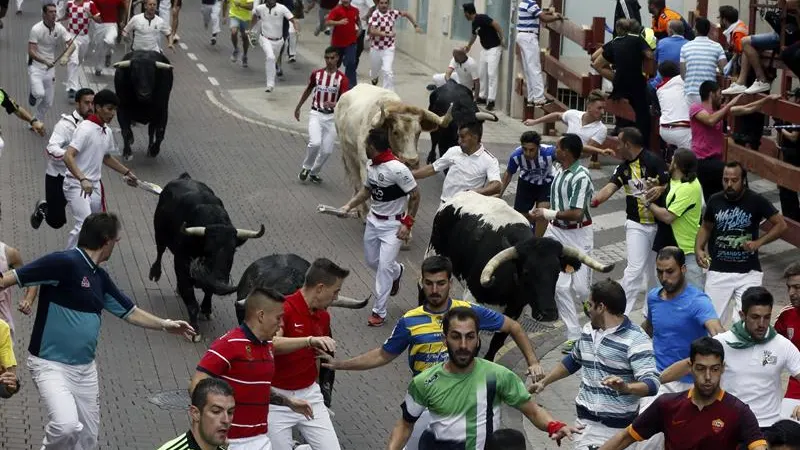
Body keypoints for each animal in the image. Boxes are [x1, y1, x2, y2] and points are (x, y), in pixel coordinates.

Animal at [148, 172, 264, 342]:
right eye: (208, 250)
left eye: (233, 251)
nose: (221, 282)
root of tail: (184, 177)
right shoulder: (181, 266)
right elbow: (191, 301)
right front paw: (194, 331)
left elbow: (209, 290)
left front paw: (206, 309)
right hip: (160, 234)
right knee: (160, 252)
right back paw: (155, 273)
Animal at [334, 85, 454, 219]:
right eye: (396, 132)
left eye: (418, 132)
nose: (412, 161)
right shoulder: (365, 166)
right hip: (348, 153)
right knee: (356, 181)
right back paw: (362, 211)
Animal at [424, 194, 612, 362]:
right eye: (527, 272)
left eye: (557, 272)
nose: (549, 313)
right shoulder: (473, 300)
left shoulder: (515, 311)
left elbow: (497, 342)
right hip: (433, 255)